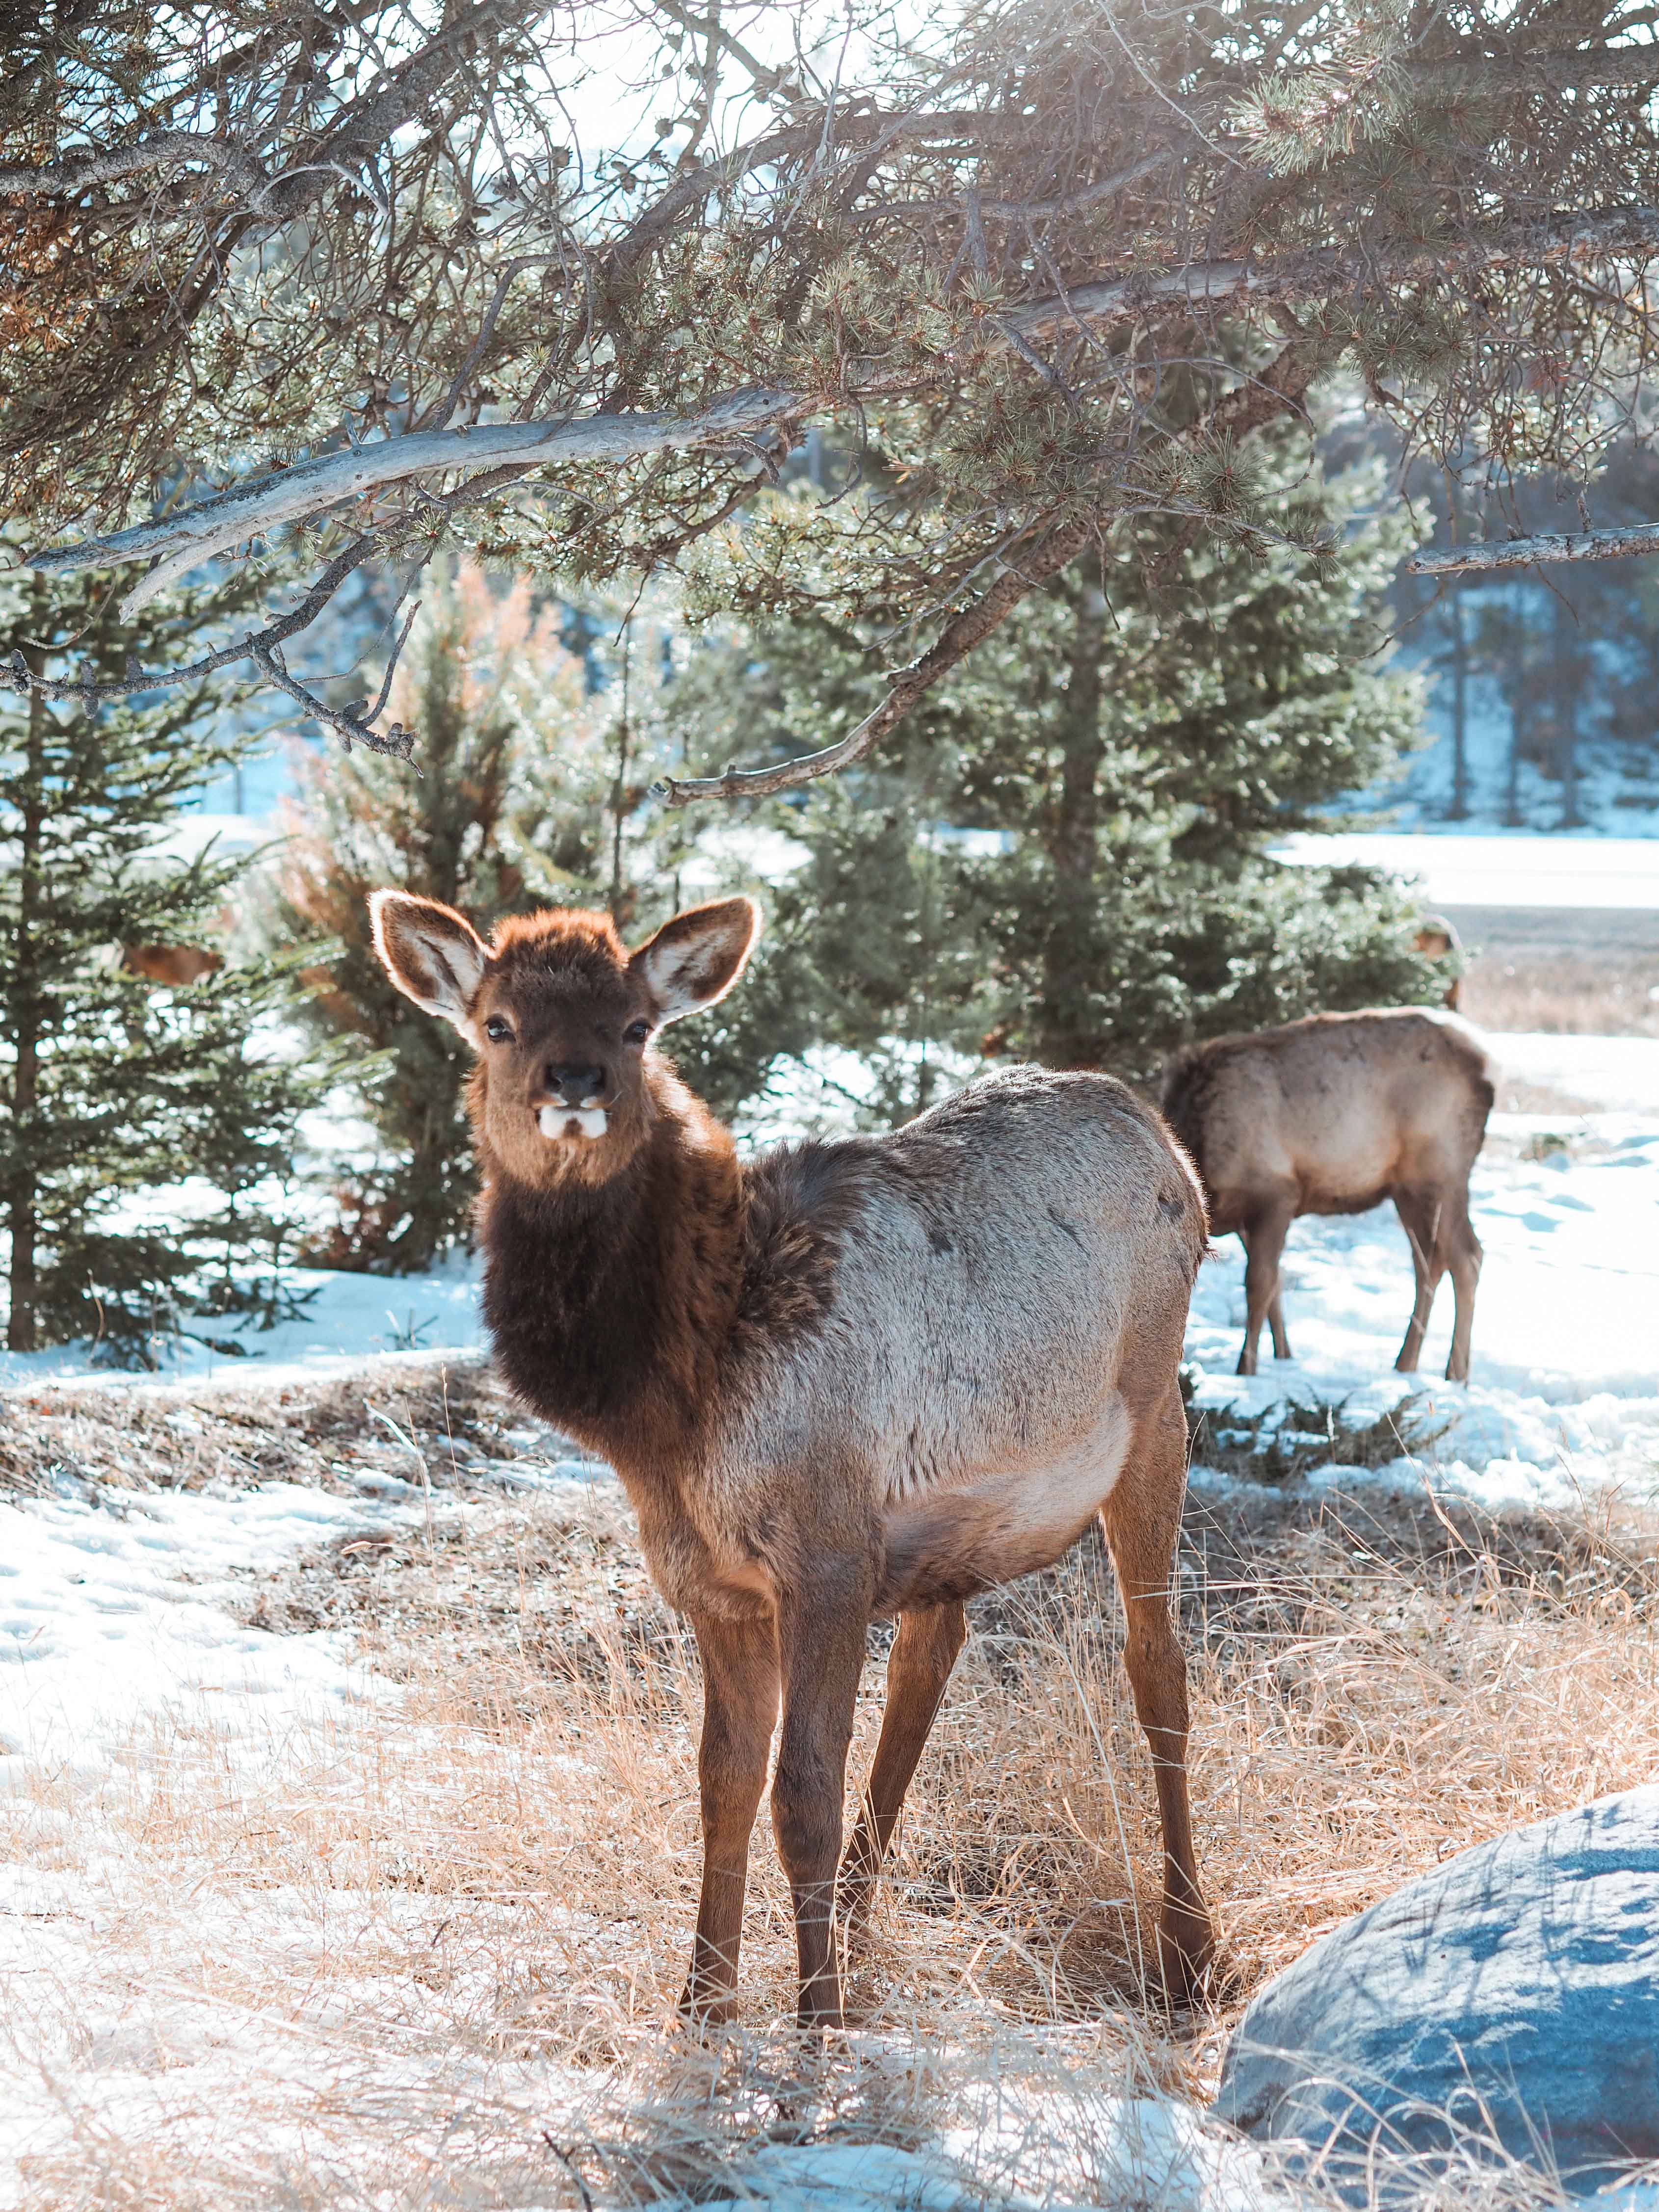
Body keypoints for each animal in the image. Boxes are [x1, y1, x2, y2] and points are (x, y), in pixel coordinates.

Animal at [369, 889, 1212, 2026]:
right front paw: (704, 2002)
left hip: (1154, 1419)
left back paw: (1186, 1949)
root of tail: (1165, 1139)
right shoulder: (712, 1580)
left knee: (1156, 1664)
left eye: (637, 1026)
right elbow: (723, 1782)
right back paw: (859, 1925)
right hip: (949, 1527)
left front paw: (813, 2025)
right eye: (496, 1022)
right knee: (933, 1650)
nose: (575, 1081)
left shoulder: (825, 1553)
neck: (669, 1411)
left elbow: (800, 1792)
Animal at [1159, 1008, 1504, 1380]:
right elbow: (1275, 1288)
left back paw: (1455, 1373)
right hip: (1407, 1190)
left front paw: (1246, 1368)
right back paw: (1405, 1363)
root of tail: (1487, 1069)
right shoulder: (1246, 1222)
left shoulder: (1276, 1194)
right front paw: (1284, 1356)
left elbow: (1259, 1285)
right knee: (1428, 1262)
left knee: (1467, 1256)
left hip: (1442, 1171)